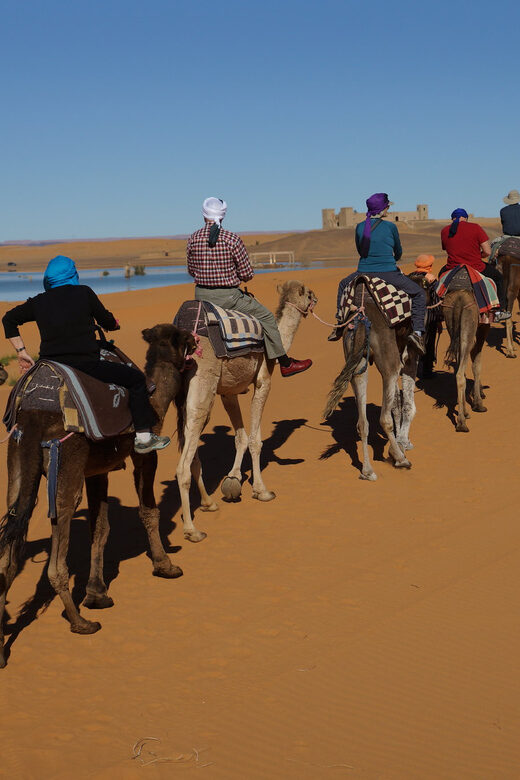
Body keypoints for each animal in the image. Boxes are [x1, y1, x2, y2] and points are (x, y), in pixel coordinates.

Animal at [0, 325, 195, 667]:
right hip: (68, 459)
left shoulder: (98, 470)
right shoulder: (143, 456)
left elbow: (100, 528)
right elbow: (149, 510)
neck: (155, 398)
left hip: (17, 458)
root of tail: (35, 414)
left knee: (9, 545)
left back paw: (1, 650)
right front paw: (165, 565)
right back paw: (80, 622)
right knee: (58, 541)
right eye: (184, 336)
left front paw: (97, 593)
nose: (198, 342)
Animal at [175, 280, 317, 543]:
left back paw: (209, 503)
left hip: (186, 400)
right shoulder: (263, 381)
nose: (317, 299)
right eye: (308, 293)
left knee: (192, 450)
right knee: (182, 467)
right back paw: (192, 530)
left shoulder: (229, 392)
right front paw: (262, 491)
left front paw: (233, 479)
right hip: (202, 386)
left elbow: (241, 437)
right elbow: (255, 440)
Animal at [323, 278, 425, 480]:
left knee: (362, 422)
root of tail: (363, 318)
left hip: (356, 362)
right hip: (389, 363)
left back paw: (367, 470)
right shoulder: (410, 356)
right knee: (384, 418)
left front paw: (401, 443)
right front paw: (403, 444)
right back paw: (401, 460)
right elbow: (407, 402)